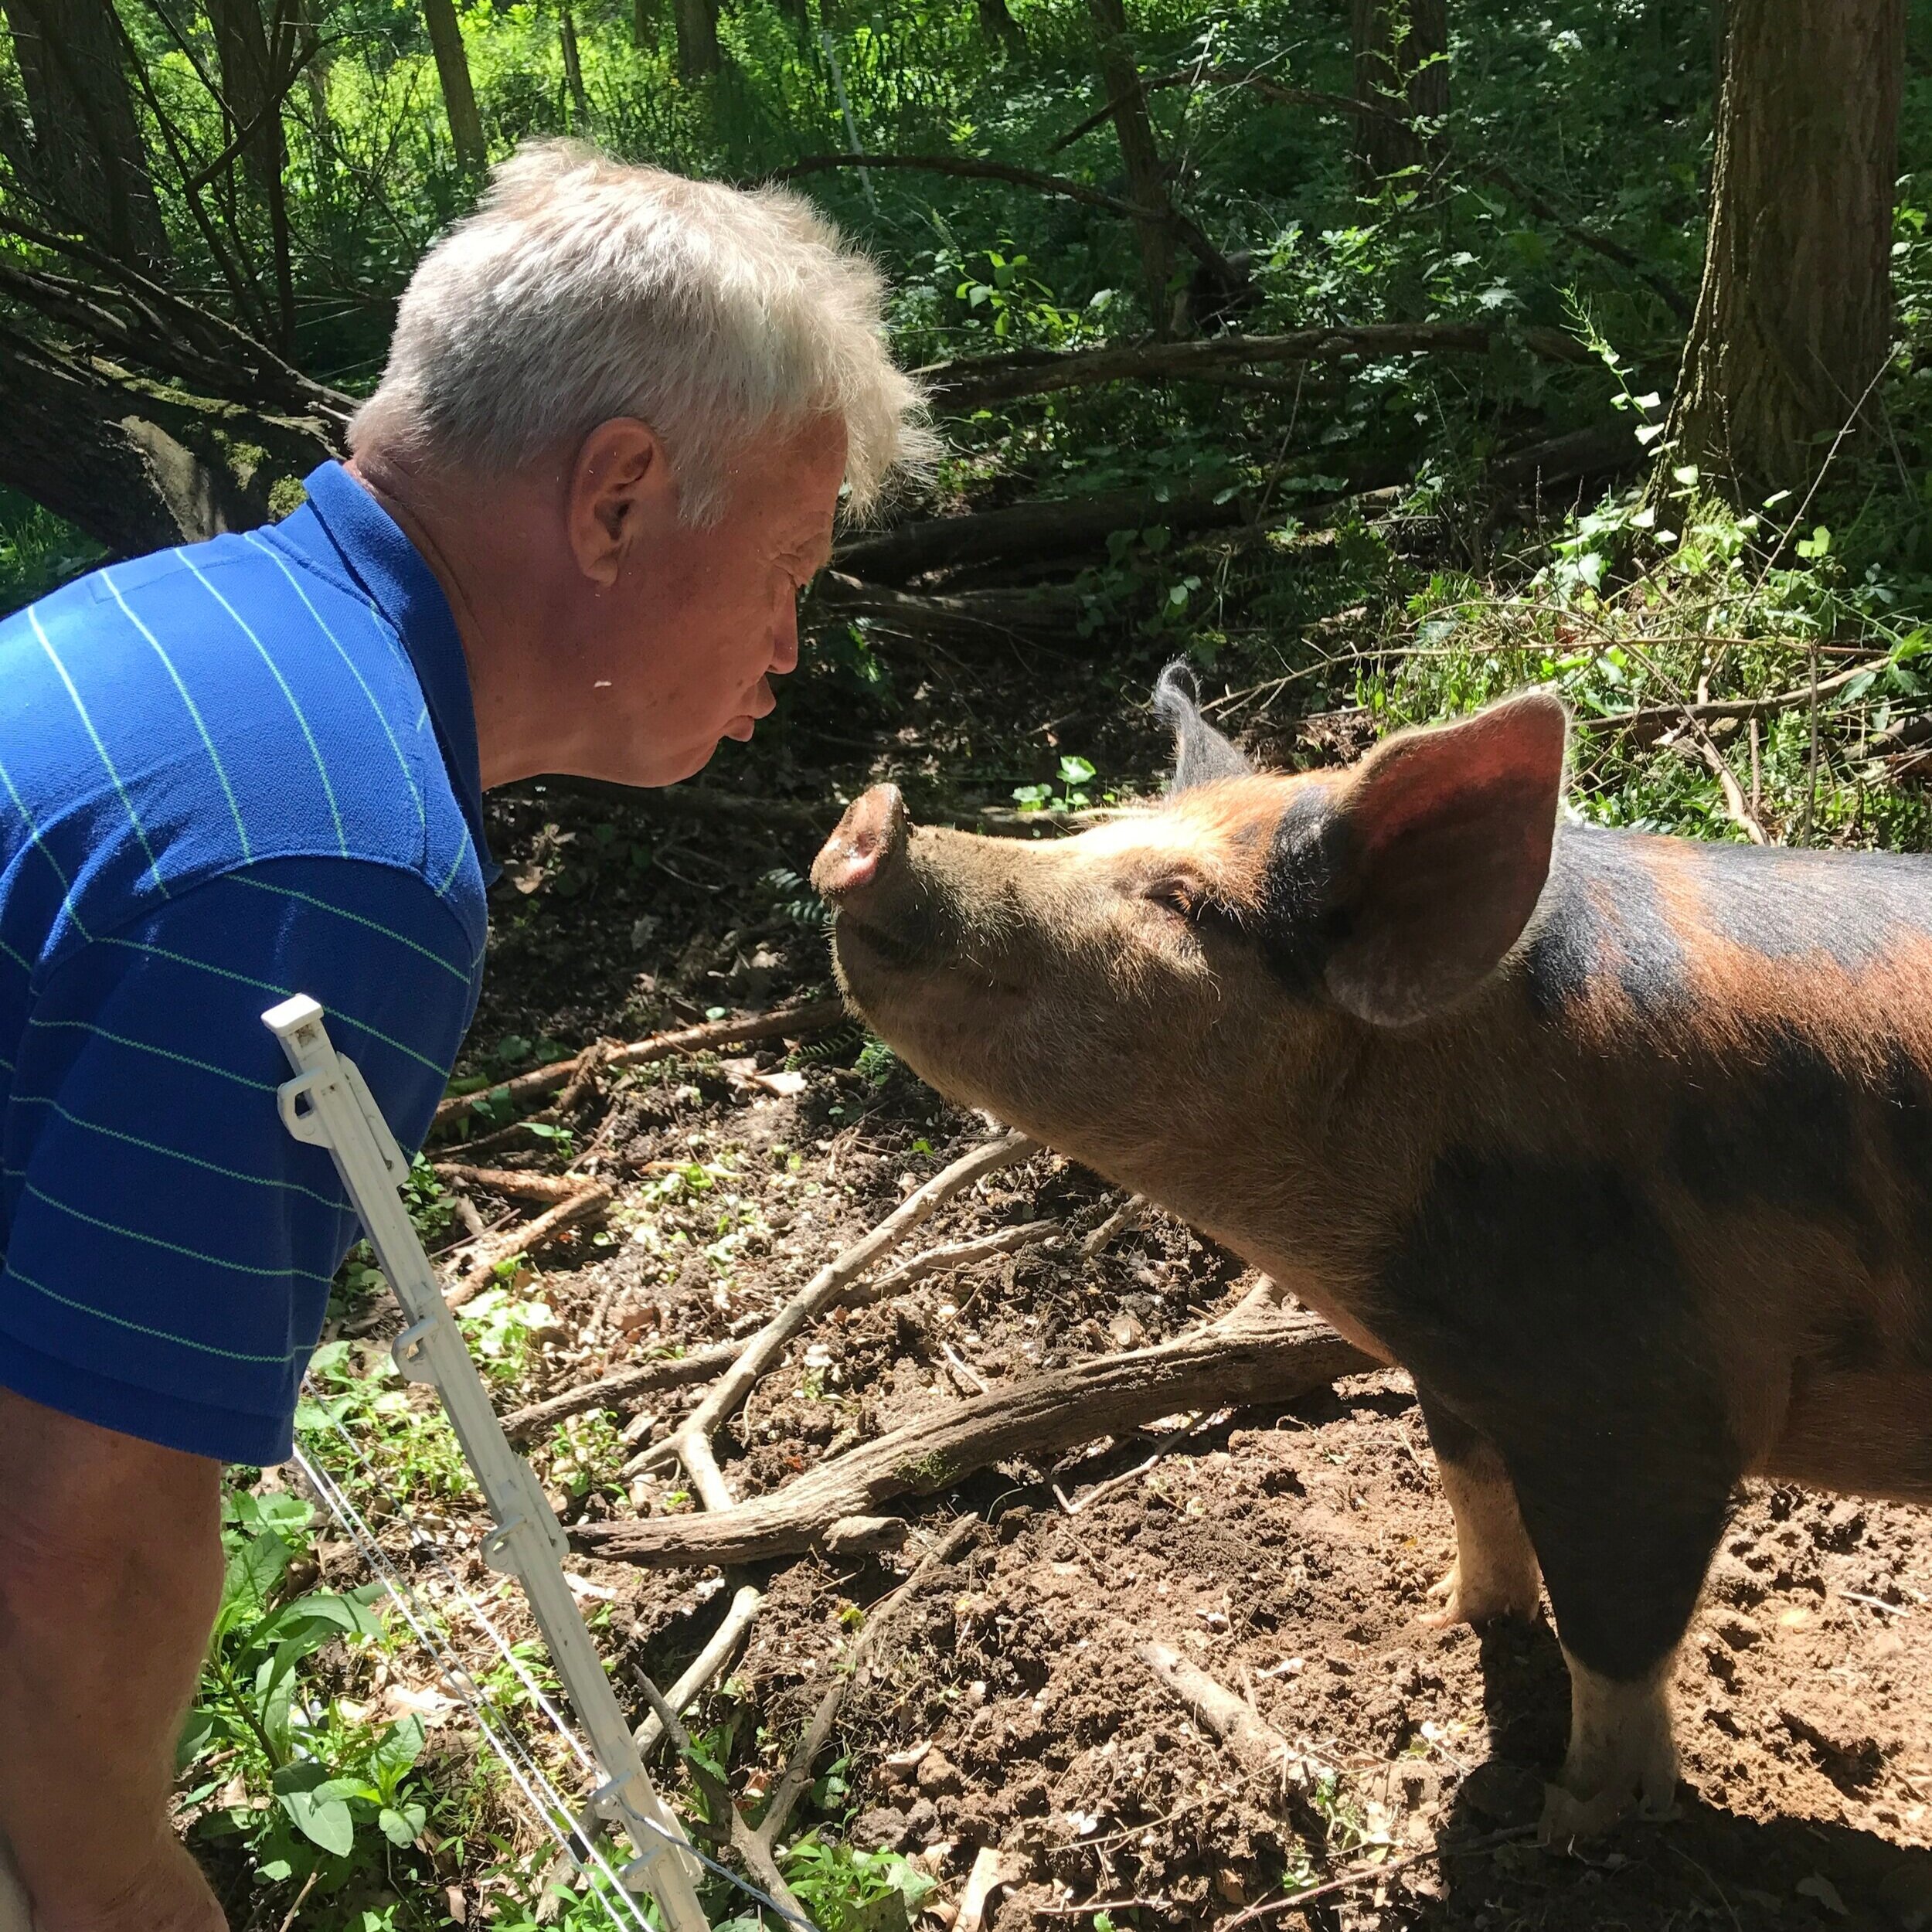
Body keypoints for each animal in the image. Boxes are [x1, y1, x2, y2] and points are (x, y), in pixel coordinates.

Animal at [810, 665, 1932, 1842]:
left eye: (1187, 904)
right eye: (1096, 833)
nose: (868, 820)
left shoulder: (1649, 1408)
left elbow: (1616, 1643)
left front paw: (1569, 1819)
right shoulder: (1459, 1371)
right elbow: (1471, 1494)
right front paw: (1439, 1620)